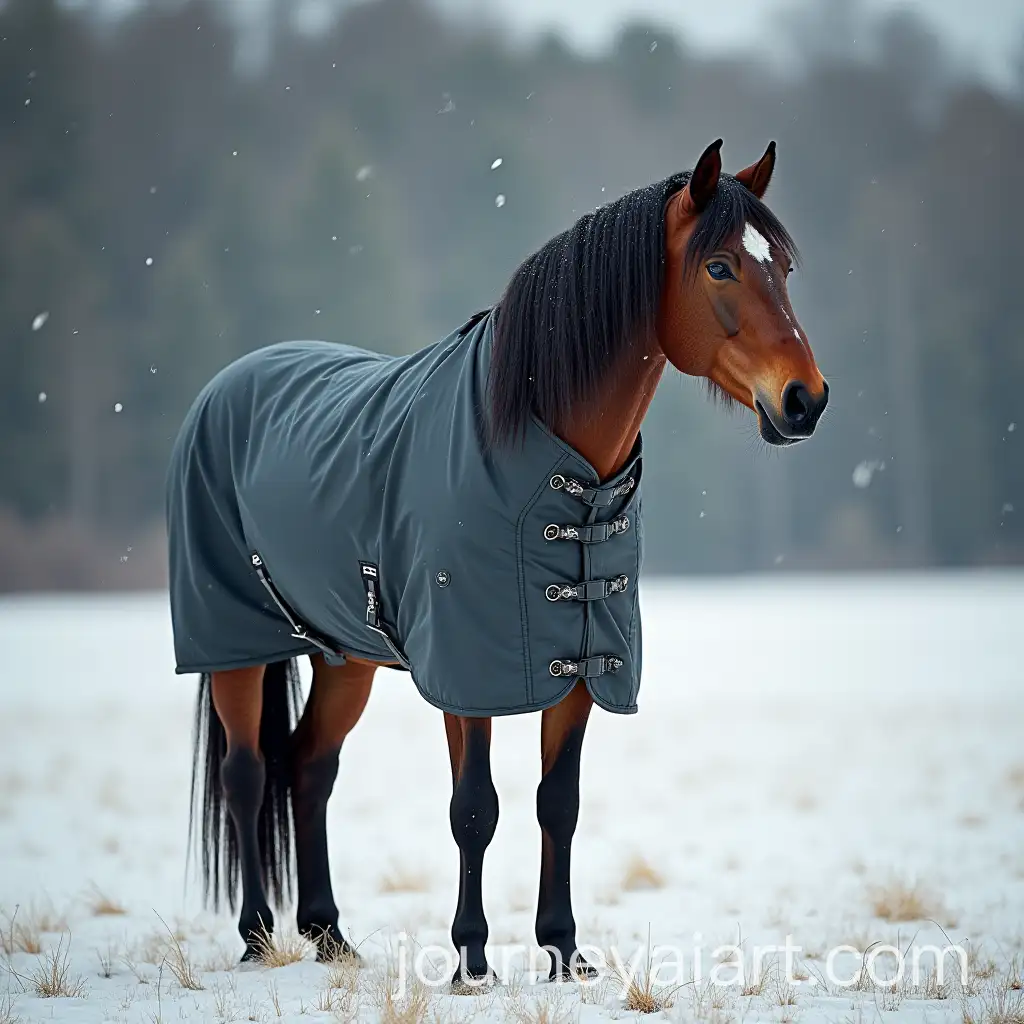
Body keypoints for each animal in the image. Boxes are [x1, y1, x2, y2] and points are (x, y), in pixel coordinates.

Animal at [168, 138, 828, 986]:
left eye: (783, 265)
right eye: (719, 266)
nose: (805, 400)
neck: (540, 457)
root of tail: (228, 382)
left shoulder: (578, 671)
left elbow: (559, 803)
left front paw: (564, 952)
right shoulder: (465, 676)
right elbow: (474, 808)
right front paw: (471, 960)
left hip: (346, 657)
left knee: (309, 767)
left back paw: (329, 934)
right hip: (235, 648)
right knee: (248, 774)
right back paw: (255, 934)